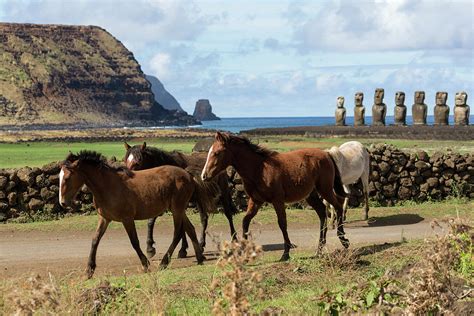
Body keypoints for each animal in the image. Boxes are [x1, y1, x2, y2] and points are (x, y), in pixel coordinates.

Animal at [59, 150, 211, 276]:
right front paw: (89, 269)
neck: (108, 186)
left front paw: (145, 264)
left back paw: (164, 262)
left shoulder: (127, 219)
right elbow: (95, 240)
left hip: (177, 209)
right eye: (59, 177)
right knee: (190, 229)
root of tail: (188, 175)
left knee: (177, 233)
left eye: (67, 177)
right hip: (178, 209)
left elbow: (134, 242)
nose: (63, 203)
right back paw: (199, 258)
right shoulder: (104, 218)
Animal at [200, 132, 348, 260]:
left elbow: (282, 223)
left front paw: (286, 253)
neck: (259, 169)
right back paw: (319, 249)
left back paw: (344, 240)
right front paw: (244, 251)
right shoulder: (255, 201)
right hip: (311, 195)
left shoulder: (277, 200)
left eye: (217, 153)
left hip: (325, 189)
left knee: (338, 206)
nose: (204, 176)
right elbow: (245, 221)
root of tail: (326, 154)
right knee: (322, 212)